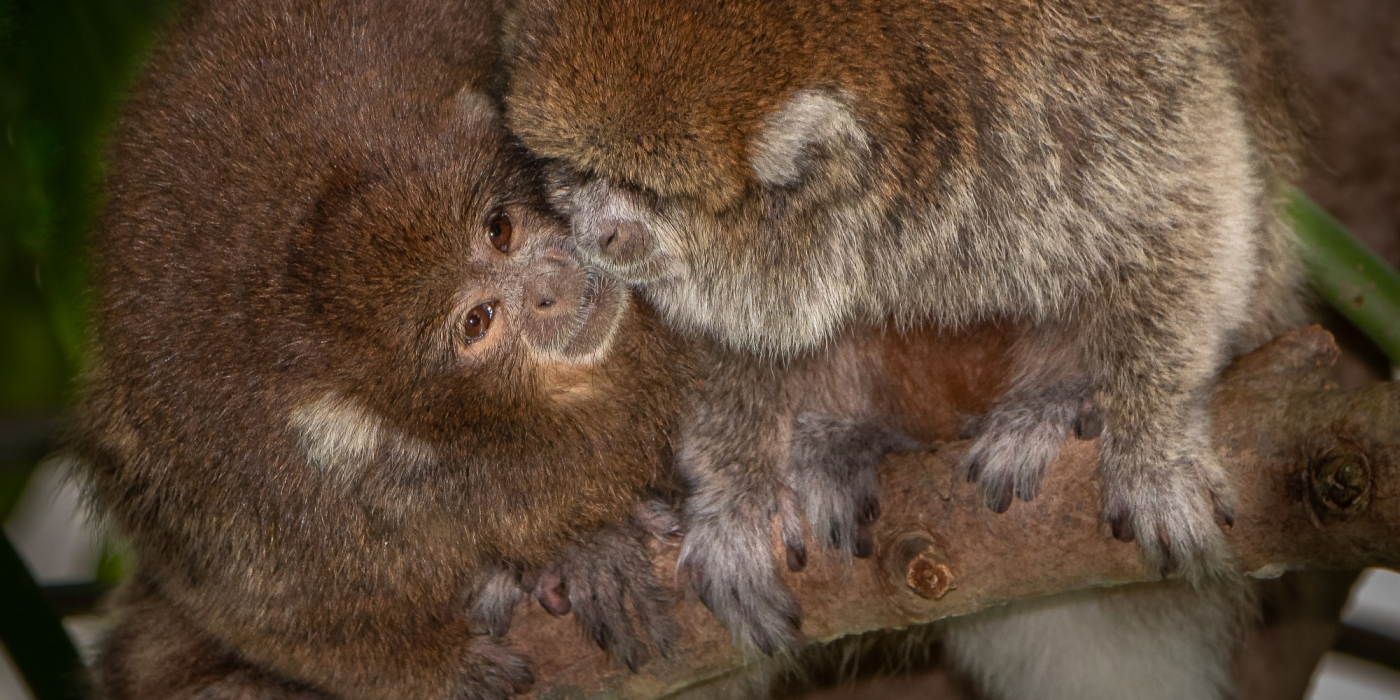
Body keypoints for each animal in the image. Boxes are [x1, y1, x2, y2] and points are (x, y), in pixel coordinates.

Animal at [76, 0, 688, 694]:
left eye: (500, 230)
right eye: (476, 322)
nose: (550, 286)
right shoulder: (262, 502)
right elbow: (261, 609)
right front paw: (440, 665)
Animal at [506, 0, 1310, 666]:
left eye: (644, 191)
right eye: (574, 171)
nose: (597, 233)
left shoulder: (1063, 84)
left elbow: (1186, 192)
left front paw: (1154, 440)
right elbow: (723, 336)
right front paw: (735, 492)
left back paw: (1056, 399)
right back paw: (841, 434)